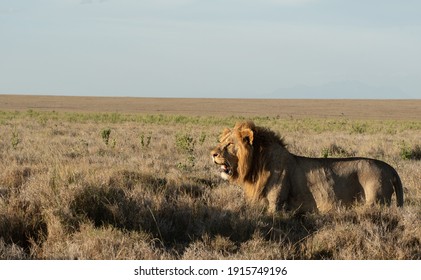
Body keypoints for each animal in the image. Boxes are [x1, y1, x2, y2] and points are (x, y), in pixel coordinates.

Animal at [212, 120, 402, 212]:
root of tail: (390, 168)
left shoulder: (276, 204)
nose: (212, 154)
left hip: (376, 202)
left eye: (230, 144)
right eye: (221, 141)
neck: (258, 162)